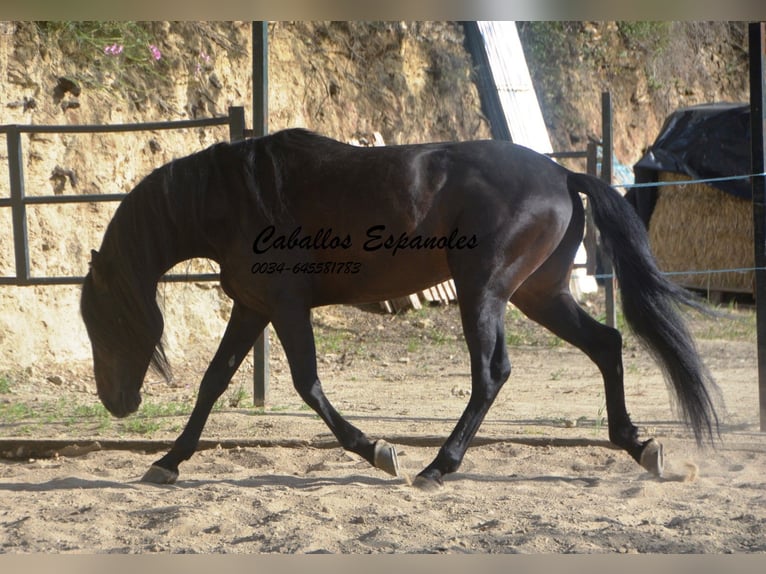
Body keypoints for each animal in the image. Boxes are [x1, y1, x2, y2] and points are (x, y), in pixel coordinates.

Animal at [81, 129, 724, 490]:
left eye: (102, 321)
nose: (117, 403)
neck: (232, 197)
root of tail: (563, 172)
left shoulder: (285, 306)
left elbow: (308, 384)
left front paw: (380, 451)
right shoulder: (253, 307)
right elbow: (214, 382)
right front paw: (168, 461)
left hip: (484, 291)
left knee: (491, 373)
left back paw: (438, 466)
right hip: (540, 294)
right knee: (606, 345)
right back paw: (639, 446)